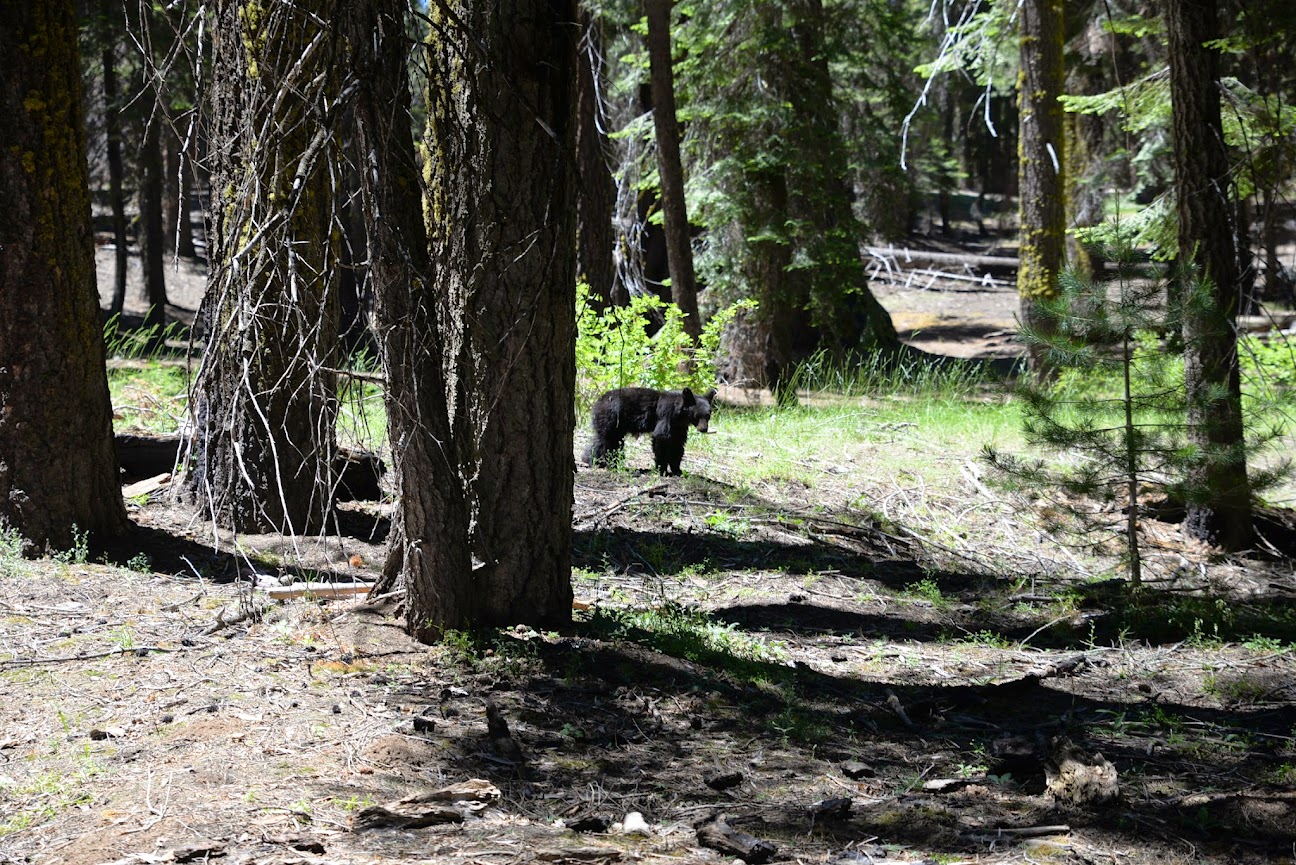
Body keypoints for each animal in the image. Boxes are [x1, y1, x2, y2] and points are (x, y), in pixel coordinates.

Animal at [588, 389, 720, 477]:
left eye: (708, 415)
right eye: (697, 416)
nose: (704, 429)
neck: (680, 415)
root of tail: (598, 402)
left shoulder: (679, 427)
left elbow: (677, 445)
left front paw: (677, 470)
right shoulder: (666, 416)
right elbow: (661, 437)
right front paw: (661, 470)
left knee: (605, 441)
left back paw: (593, 460)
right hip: (611, 419)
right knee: (607, 441)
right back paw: (605, 463)